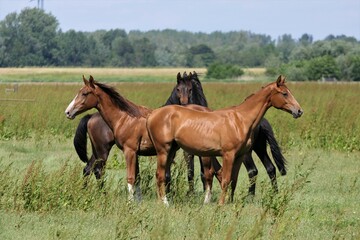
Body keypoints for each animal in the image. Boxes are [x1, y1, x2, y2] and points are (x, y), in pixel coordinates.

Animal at [146, 75, 304, 204]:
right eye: (284, 93)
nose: (299, 111)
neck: (240, 120)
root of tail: (152, 115)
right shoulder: (228, 155)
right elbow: (226, 179)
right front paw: (221, 204)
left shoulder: (239, 156)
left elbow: (233, 180)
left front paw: (229, 202)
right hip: (163, 151)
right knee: (160, 175)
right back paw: (164, 203)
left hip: (172, 150)